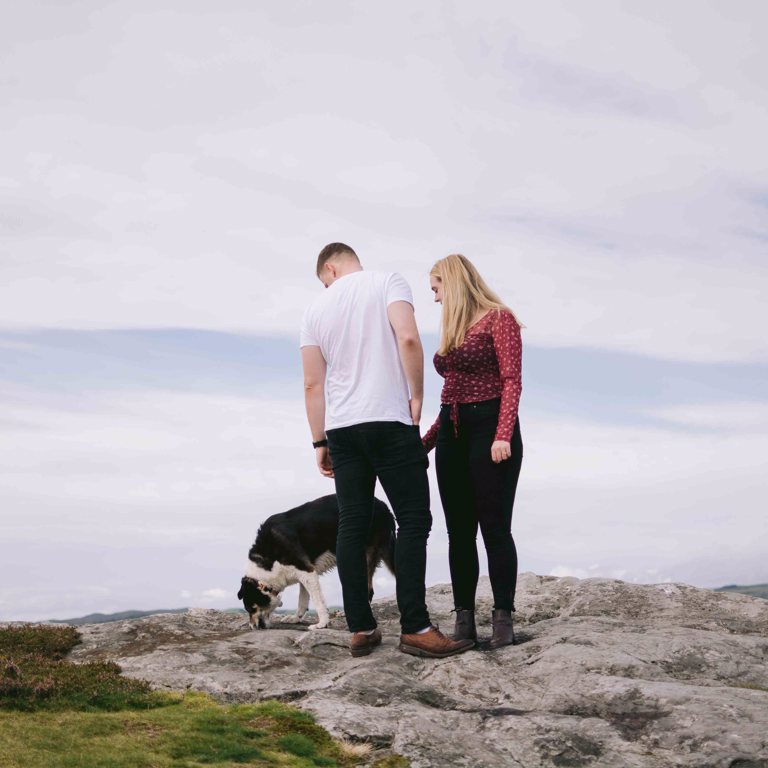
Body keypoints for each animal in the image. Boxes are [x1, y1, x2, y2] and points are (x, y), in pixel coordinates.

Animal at [237, 498, 396, 632]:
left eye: (251, 608)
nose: (253, 627)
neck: (266, 565)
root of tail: (383, 505)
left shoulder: (308, 572)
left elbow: (317, 601)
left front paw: (322, 624)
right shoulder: (303, 574)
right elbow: (302, 600)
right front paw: (296, 618)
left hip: (366, 555)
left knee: (368, 590)